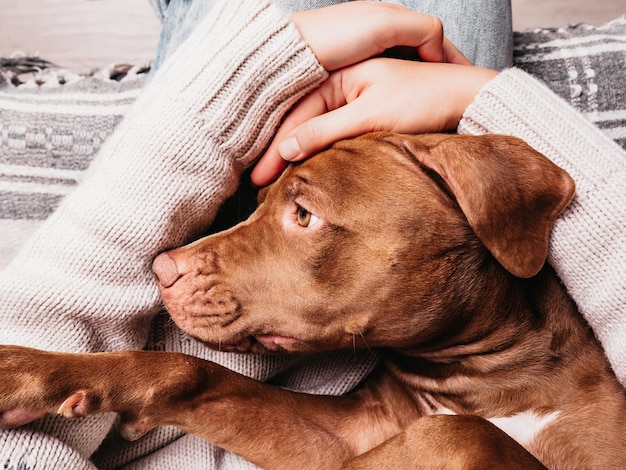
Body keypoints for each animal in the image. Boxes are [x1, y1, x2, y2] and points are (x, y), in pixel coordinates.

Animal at [1, 133, 624, 470]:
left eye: (303, 214)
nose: (162, 268)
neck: (490, 378)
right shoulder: (342, 435)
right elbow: (192, 371)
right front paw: (33, 372)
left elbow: (457, 431)